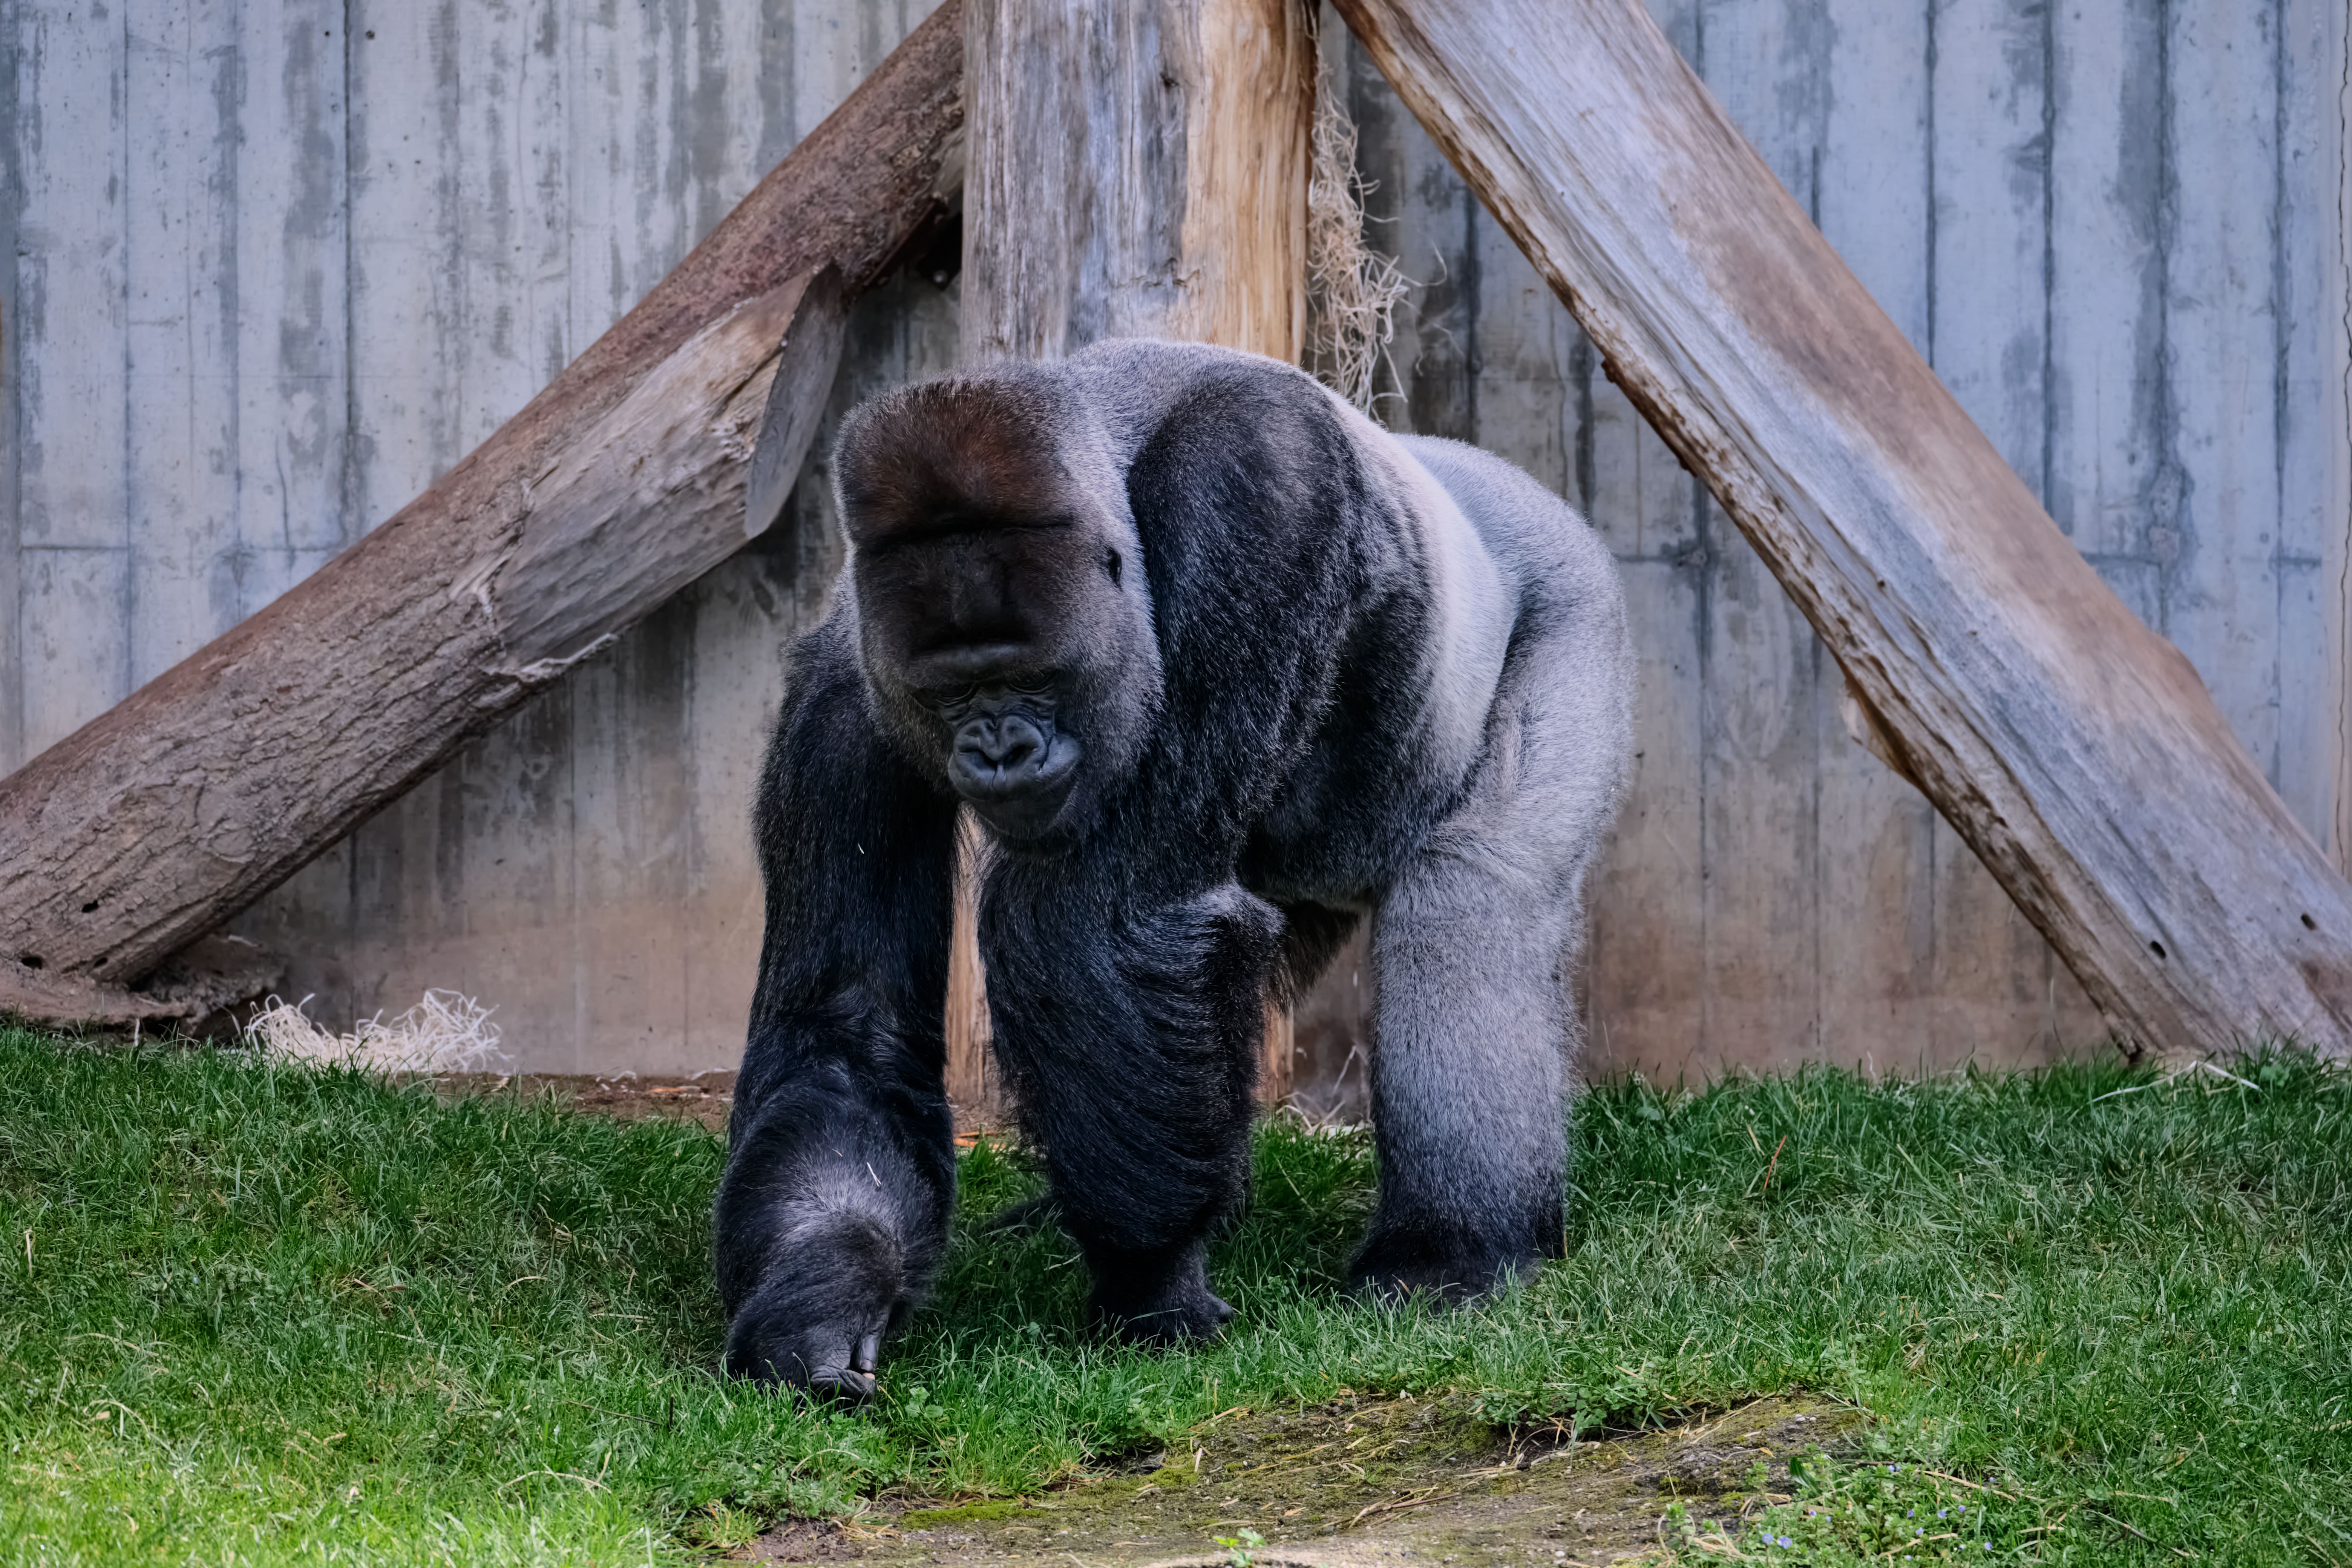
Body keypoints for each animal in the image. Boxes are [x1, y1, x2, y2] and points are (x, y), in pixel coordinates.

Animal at [713, 339, 1633, 1399]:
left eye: (1031, 678)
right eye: (951, 695)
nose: (1000, 751)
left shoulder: (1255, 486)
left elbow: (1104, 918)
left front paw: (1150, 1284)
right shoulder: (845, 690)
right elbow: (848, 1028)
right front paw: (823, 1294)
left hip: (1571, 602)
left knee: (1472, 909)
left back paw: (1450, 1251)